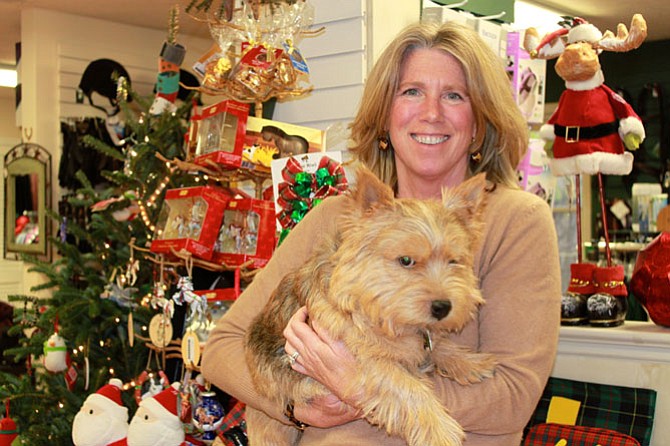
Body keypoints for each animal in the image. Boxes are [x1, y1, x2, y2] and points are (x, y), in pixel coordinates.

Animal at [244, 166, 496, 446]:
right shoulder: (362, 364)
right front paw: (439, 430)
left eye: (454, 261)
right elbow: (409, 387)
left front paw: (470, 362)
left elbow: (437, 345)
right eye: (406, 260)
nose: (443, 307)